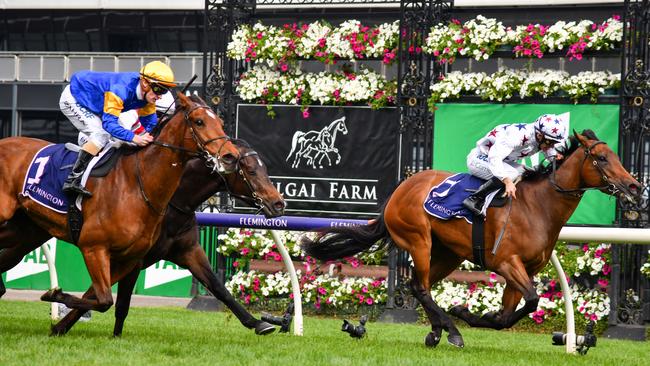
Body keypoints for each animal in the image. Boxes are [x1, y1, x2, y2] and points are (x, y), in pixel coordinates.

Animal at [0, 92, 239, 318]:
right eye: (199, 122)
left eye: (220, 121)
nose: (231, 156)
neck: (135, 184)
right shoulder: (93, 247)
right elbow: (104, 299)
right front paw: (55, 296)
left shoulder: (129, 257)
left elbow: (105, 301)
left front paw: (57, 300)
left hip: (24, 228)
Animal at [302, 129, 640, 348]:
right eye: (601, 158)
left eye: (615, 155)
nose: (634, 186)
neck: (538, 206)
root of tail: (400, 188)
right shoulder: (505, 262)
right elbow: (530, 300)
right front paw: (464, 312)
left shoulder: (525, 270)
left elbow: (510, 314)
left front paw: (479, 314)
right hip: (419, 240)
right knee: (420, 286)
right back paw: (450, 331)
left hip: (448, 253)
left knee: (419, 285)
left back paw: (436, 331)